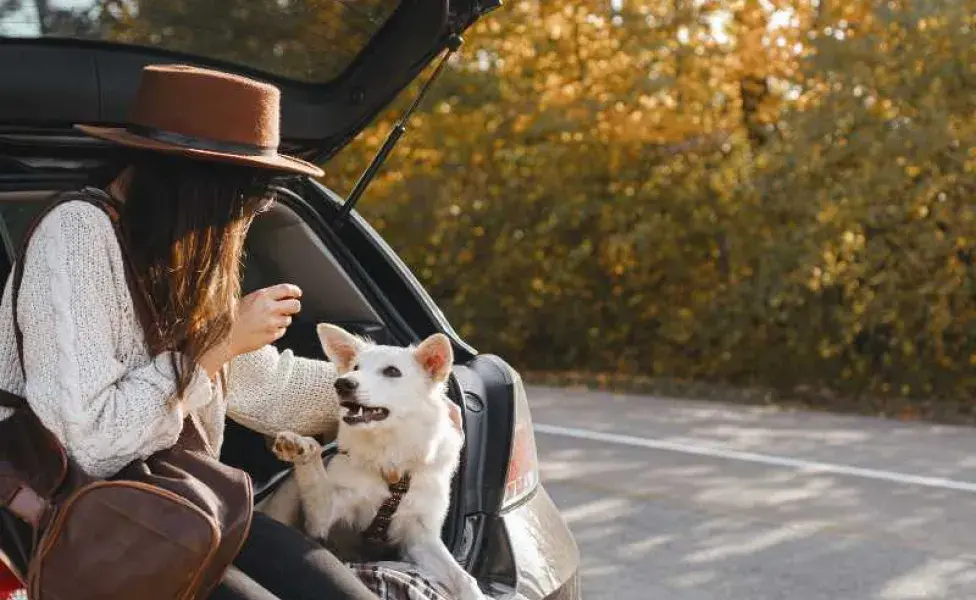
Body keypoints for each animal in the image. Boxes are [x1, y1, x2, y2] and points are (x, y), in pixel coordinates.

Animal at [264, 326, 486, 596]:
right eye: (355, 367)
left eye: (392, 372)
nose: (342, 383)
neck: (389, 461)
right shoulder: (321, 519)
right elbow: (316, 478)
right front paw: (301, 446)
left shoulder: (421, 539)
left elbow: (464, 578)